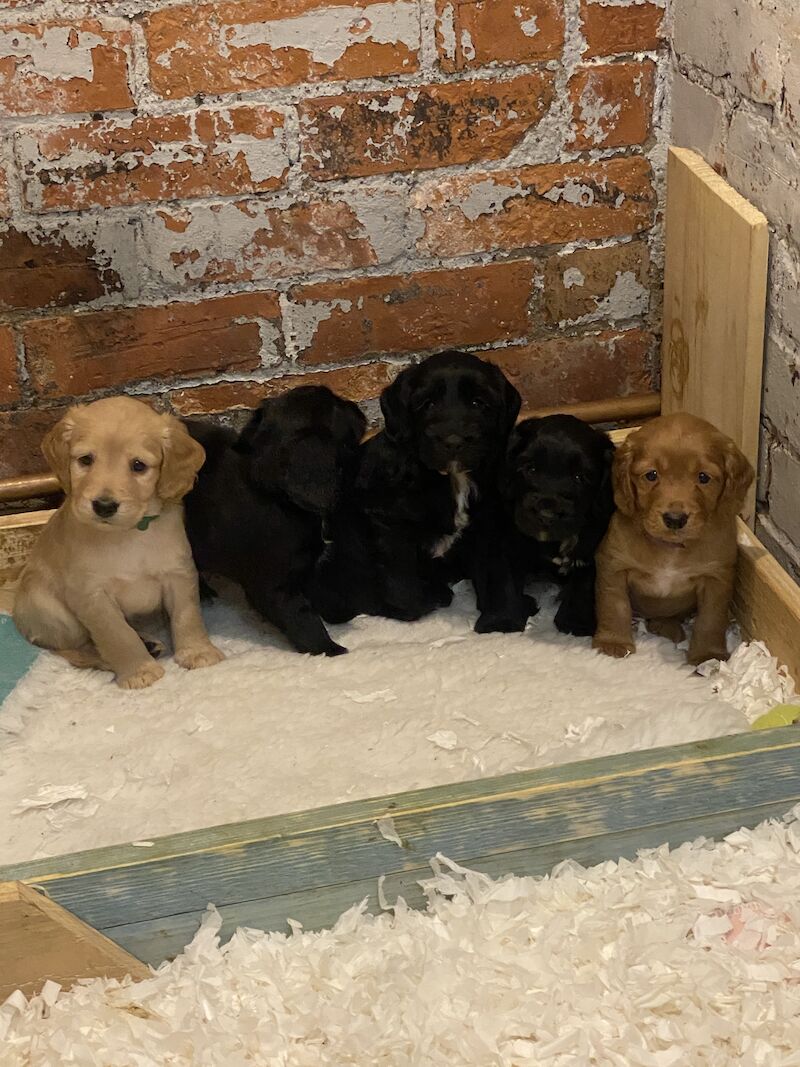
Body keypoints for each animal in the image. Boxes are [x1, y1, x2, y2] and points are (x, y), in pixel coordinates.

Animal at [184, 379, 366, 653]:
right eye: (336, 406)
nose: (357, 408)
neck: (277, 496)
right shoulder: (276, 590)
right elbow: (304, 621)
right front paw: (330, 650)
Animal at [313, 349, 526, 623]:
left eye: (479, 403)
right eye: (427, 404)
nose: (453, 441)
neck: (452, 478)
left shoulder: (487, 521)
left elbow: (494, 568)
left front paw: (501, 616)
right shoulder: (389, 523)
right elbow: (401, 577)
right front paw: (415, 607)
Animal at [499, 413, 618, 631]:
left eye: (580, 477)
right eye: (530, 468)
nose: (547, 514)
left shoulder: (593, 547)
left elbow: (584, 581)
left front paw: (575, 620)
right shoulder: (510, 543)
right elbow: (506, 581)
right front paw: (504, 620)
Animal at [597, 411, 759, 661]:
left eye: (703, 477)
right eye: (651, 475)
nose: (675, 518)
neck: (671, 548)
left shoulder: (716, 579)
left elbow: (711, 620)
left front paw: (707, 655)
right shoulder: (613, 566)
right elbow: (614, 605)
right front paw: (612, 643)